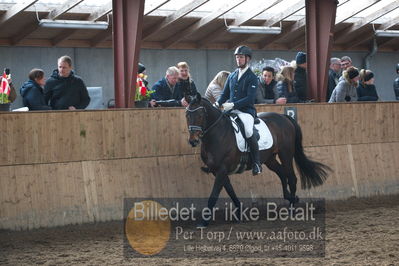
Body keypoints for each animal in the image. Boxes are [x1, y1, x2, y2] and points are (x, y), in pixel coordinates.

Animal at [186, 93, 332, 224]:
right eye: (187, 115)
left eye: (200, 115)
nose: (193, 141)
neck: (217, 134)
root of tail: (284, 117)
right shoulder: (218, 171)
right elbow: (230, 191)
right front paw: (239, 213)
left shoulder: (222, 169)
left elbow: (214, 195)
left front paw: (204, 221)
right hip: (270, 159)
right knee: (282, 173)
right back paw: (290, 198)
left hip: (285, 154)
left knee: (291, 177)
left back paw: (292, 208)